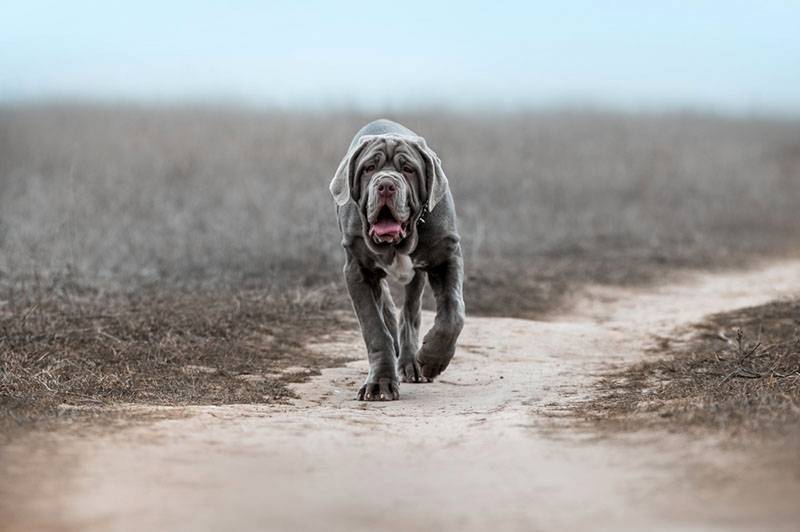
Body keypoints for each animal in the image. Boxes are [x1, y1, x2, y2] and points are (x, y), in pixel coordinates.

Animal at [328, 118, 466, 402]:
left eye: (408, 169)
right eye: (369, 168)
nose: (386, 185)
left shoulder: (446, 256)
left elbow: (453, 313)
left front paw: (432, 360)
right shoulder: (357, 270)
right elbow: (374, 328)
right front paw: (380, 383)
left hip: (417, 275)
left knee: (411, 312)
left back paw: (413, 362)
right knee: (388, 309)